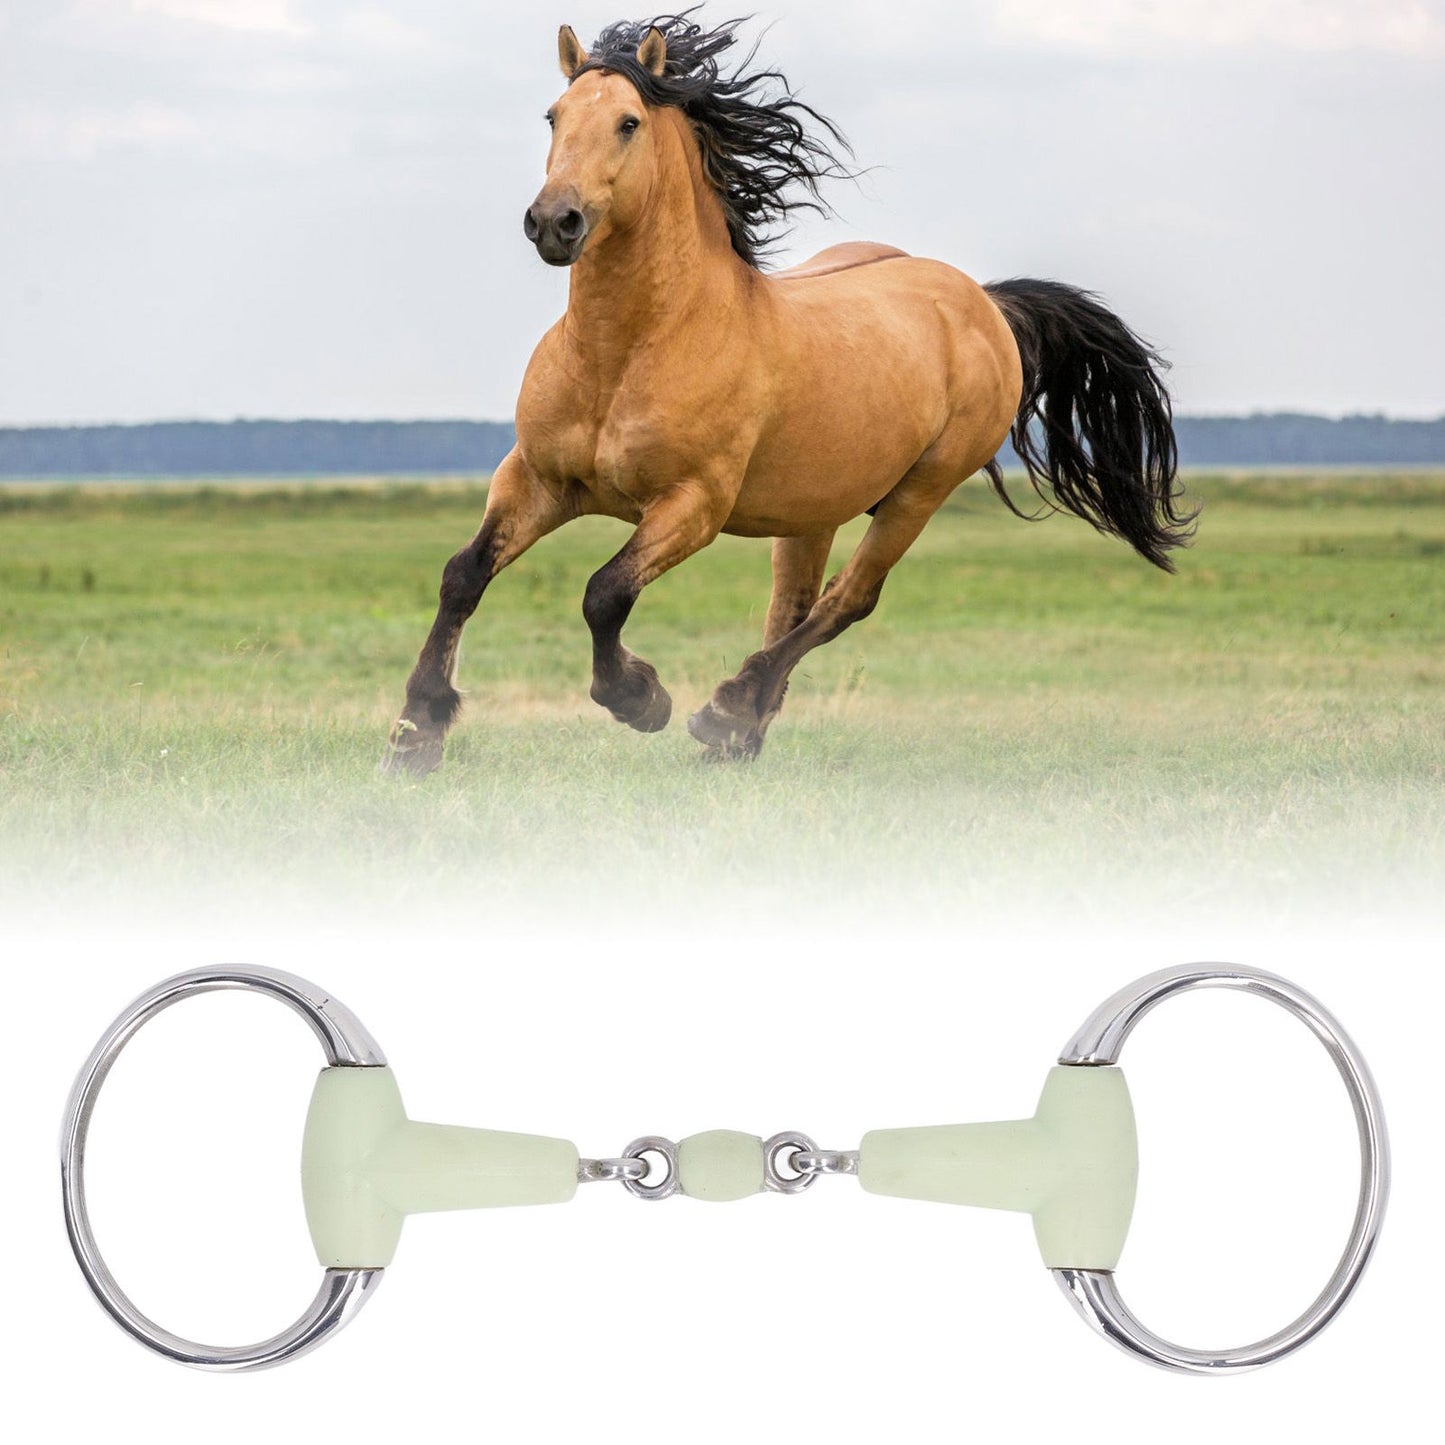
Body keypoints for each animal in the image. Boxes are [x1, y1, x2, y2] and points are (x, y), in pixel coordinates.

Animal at [383, 14, 1193, 775]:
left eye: (628, 122)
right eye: (553, 116)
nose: (555, 222)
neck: (627, 351)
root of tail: (984, 302)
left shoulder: (692, 505)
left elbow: (603, 592)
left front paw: (641, 699)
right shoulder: (537, 480)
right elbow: (463, 576)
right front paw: (416, 733)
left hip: (919, 492)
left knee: (844, 602)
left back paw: (724, 712)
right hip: (813, 509)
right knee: (793, 607)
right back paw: (737, 736)